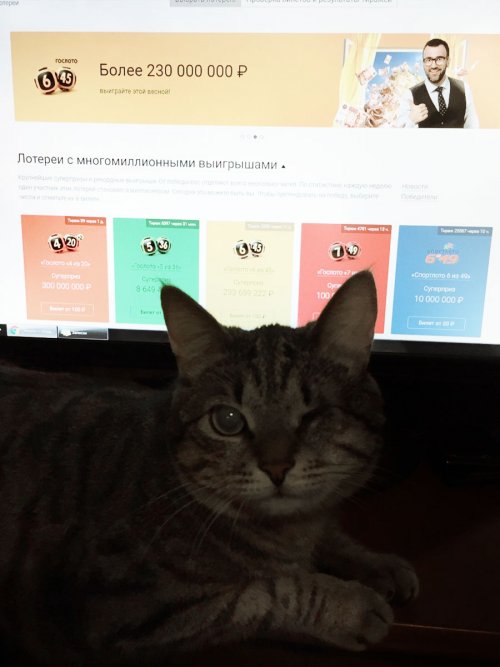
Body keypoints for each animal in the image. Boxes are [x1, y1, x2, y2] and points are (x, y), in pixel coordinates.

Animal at [0, 270, 418, 666]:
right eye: (228, 420)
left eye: (315, 416)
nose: (277, 467)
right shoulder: (124, 610)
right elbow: (270, 590)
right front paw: (349, 605)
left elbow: (331, 536)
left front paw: (377, 563)